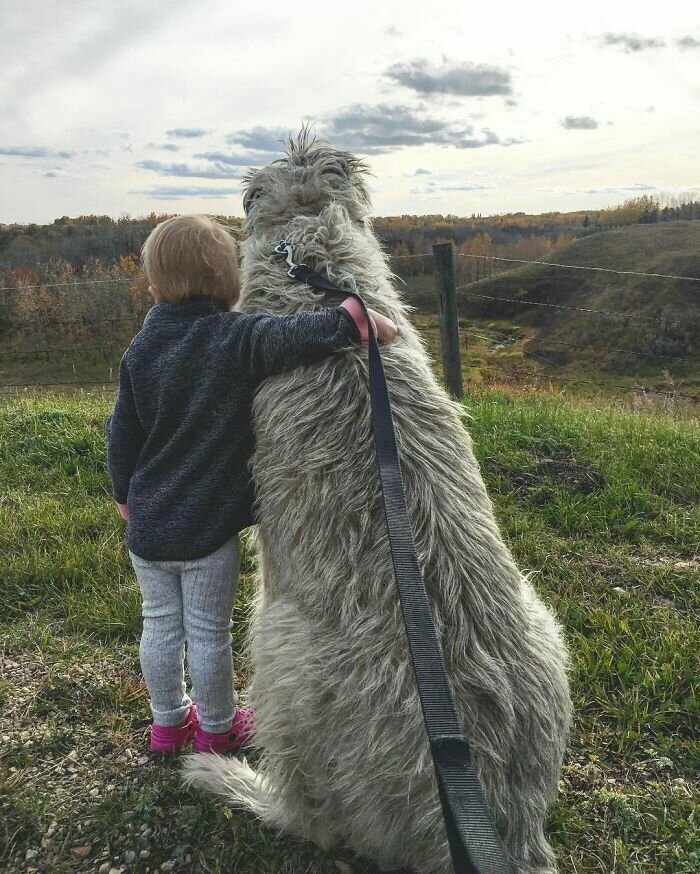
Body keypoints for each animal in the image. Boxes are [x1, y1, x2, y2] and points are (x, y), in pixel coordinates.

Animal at [183, 131, 572, 872]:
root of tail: (506, 821)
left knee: (310, 821)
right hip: (546, 625)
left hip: (278, 652)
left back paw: (228, 779)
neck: (315, 256)